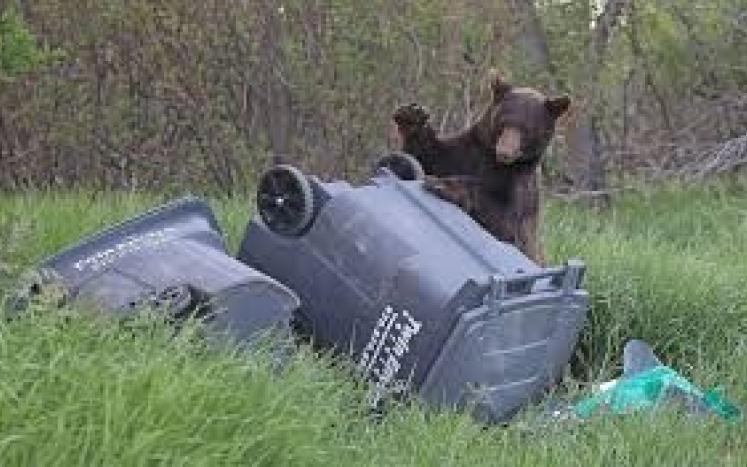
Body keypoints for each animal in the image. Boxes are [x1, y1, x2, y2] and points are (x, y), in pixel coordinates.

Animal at [389, 73, 570, 264]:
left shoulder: (520, 189)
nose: (505, 152)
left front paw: (443, 185)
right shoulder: (466, 153)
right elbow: (427, 157)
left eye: (527, 129)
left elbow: (503, 220)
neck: (496, 162)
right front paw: (412, 117)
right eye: (504, 122)